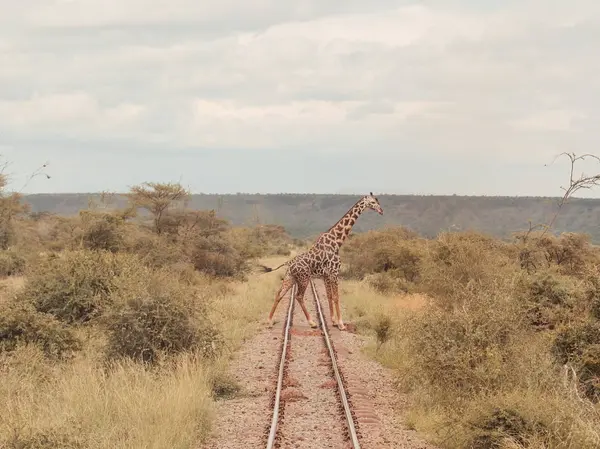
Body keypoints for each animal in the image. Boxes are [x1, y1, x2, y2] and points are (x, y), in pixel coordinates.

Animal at [258, 191, 382, 330]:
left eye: (378, 201)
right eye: (373, 202)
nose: (381, 211)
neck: (337, 242)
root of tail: (289, 263)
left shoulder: (326, 275)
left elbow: (329, 296)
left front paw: (333, 321)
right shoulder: (334, 273)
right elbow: (336, 297)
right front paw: (341, 324)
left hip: (290, 278)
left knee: (279, 294)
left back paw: (269, 321)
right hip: (304, 278)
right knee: (298, 296)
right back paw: (312, 322)